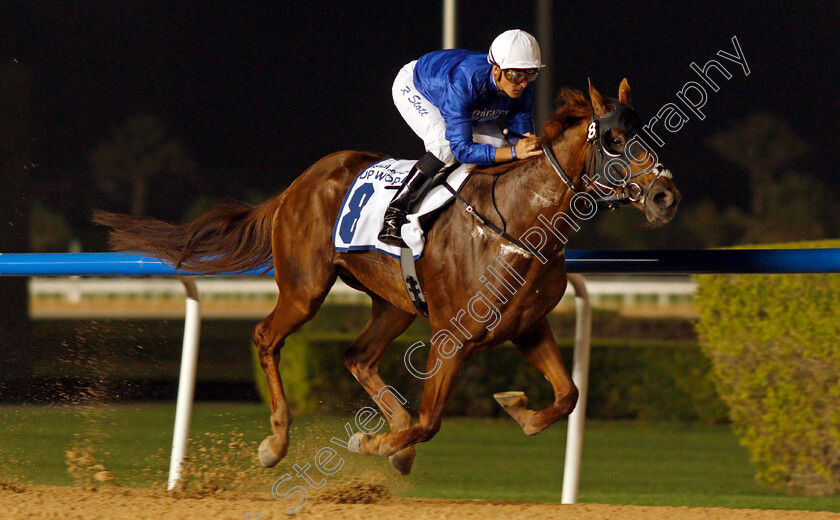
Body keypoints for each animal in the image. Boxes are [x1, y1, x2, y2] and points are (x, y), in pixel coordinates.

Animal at [93, 80, 684, 476]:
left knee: (357, 356)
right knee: (267, 336)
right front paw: (374, 445)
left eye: (646, 133)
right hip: (305, 288)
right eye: (613, 139)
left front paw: (515, 407)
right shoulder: (452, 337)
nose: (664, 195)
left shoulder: (527, 327)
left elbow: (568, 396)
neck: (518, 222)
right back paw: (278, 443)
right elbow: (432, 419)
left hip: (395, 303)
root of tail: (297, 184)